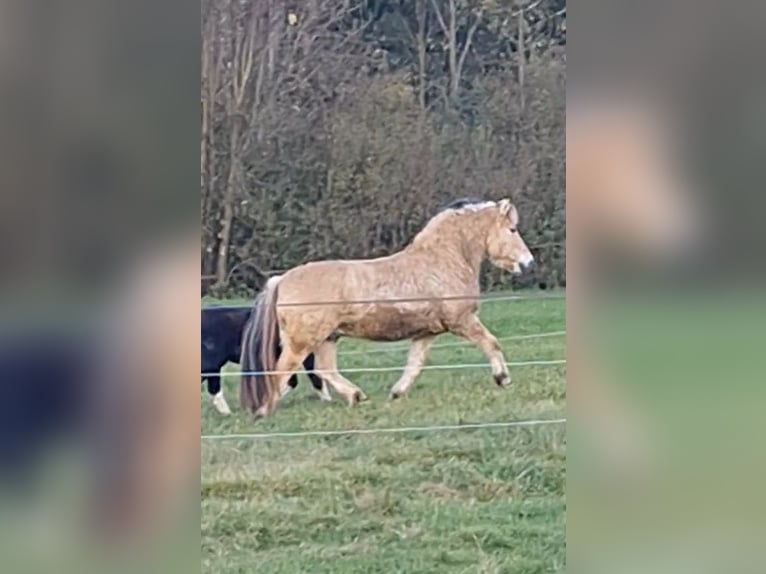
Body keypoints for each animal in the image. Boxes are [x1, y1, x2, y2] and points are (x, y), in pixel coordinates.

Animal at [243, 198, 536, 418]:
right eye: (512, 230)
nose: (529, 263)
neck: (443, 261)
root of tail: (282, 279)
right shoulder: (462, 321)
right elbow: (491, 343)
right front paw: (502, 378)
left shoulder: (426, 333)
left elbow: (414, 365)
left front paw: (397, 393)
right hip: (302, 343)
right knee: (280, 370)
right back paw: (264, 410)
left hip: (327, 338)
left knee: (325, 370)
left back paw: (356, 396)